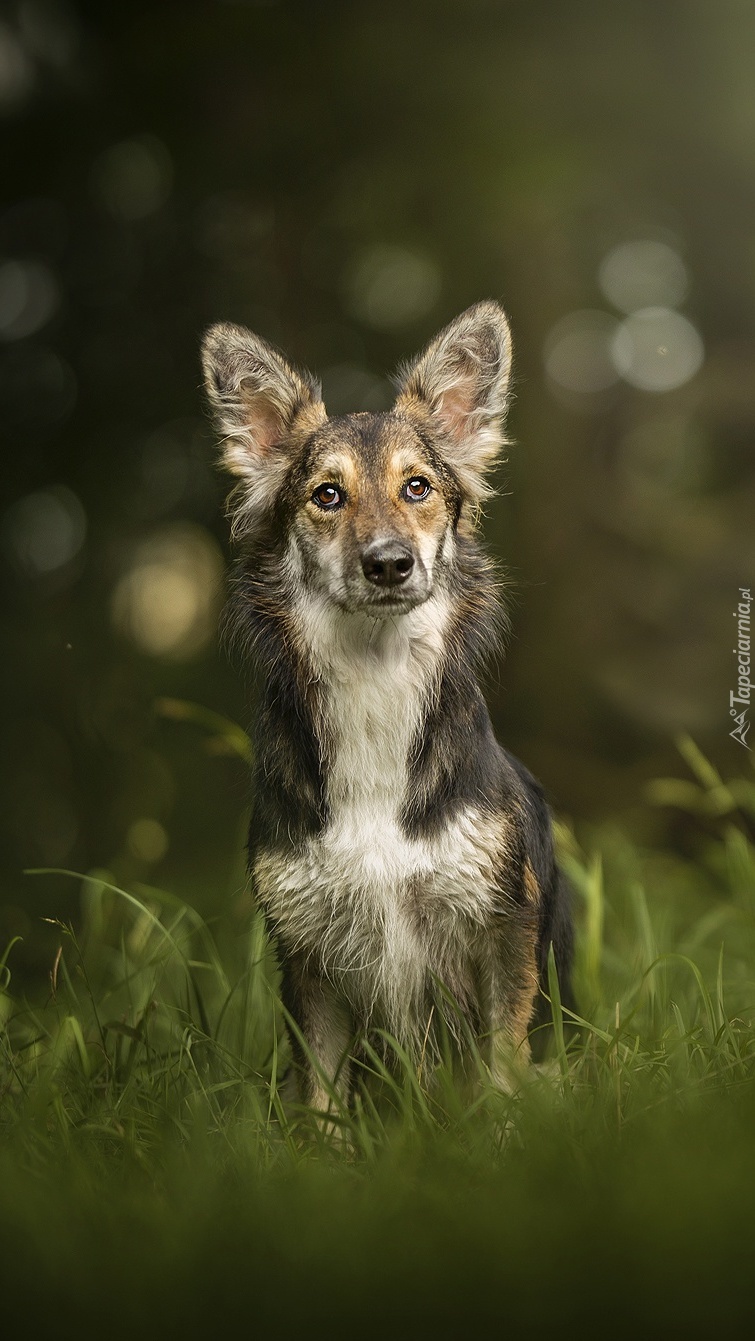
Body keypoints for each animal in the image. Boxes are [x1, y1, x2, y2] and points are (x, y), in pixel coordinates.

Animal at [201, 301, 573, 1110]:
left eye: (418, 488)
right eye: (326, 495)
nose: (389, 564)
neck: (375, 684)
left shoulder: (503, 926)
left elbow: (501, 1069)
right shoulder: (305, 952)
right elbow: (321, 1098)